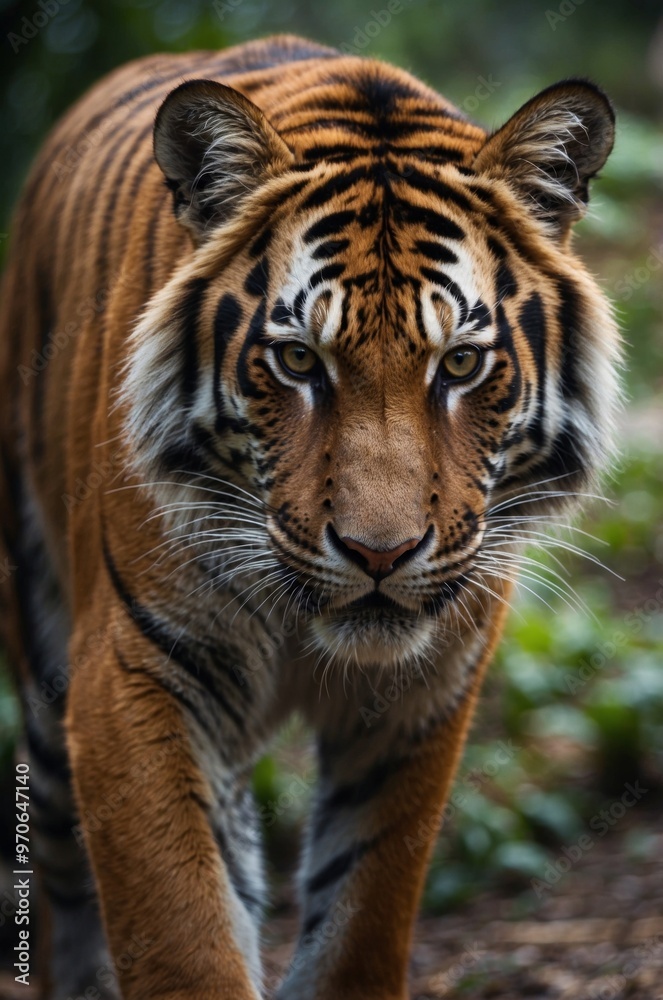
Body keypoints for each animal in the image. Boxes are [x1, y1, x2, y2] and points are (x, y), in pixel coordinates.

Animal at [0, 33, 620, 1000]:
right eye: (296, 361)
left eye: (460, 363)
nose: (380, 554)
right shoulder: (134, 674)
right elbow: (180, 935)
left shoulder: (424, 695)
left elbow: (360, 917)